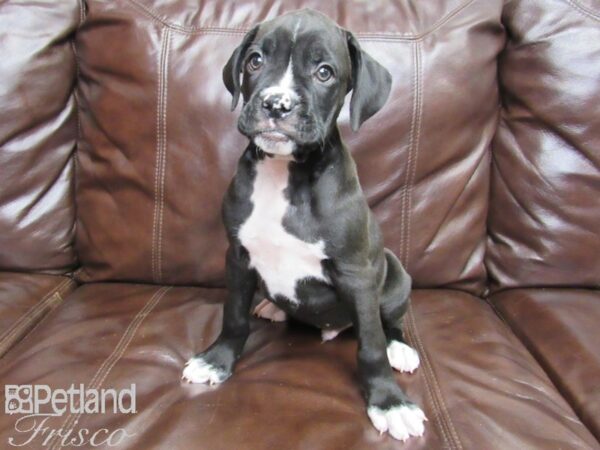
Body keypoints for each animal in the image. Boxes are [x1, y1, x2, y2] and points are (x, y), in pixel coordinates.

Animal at [184, 10, 426, 442]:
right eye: (255, 61)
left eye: (324, 72)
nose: (276, 104)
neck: (285, 171)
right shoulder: (238, 256)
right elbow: (234, 316)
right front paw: (217, 360)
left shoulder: (357, 274)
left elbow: (370, 344)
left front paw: (389, 402)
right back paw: (275, 307)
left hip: (394, 274)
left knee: (391, 322)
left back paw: (400, 348)